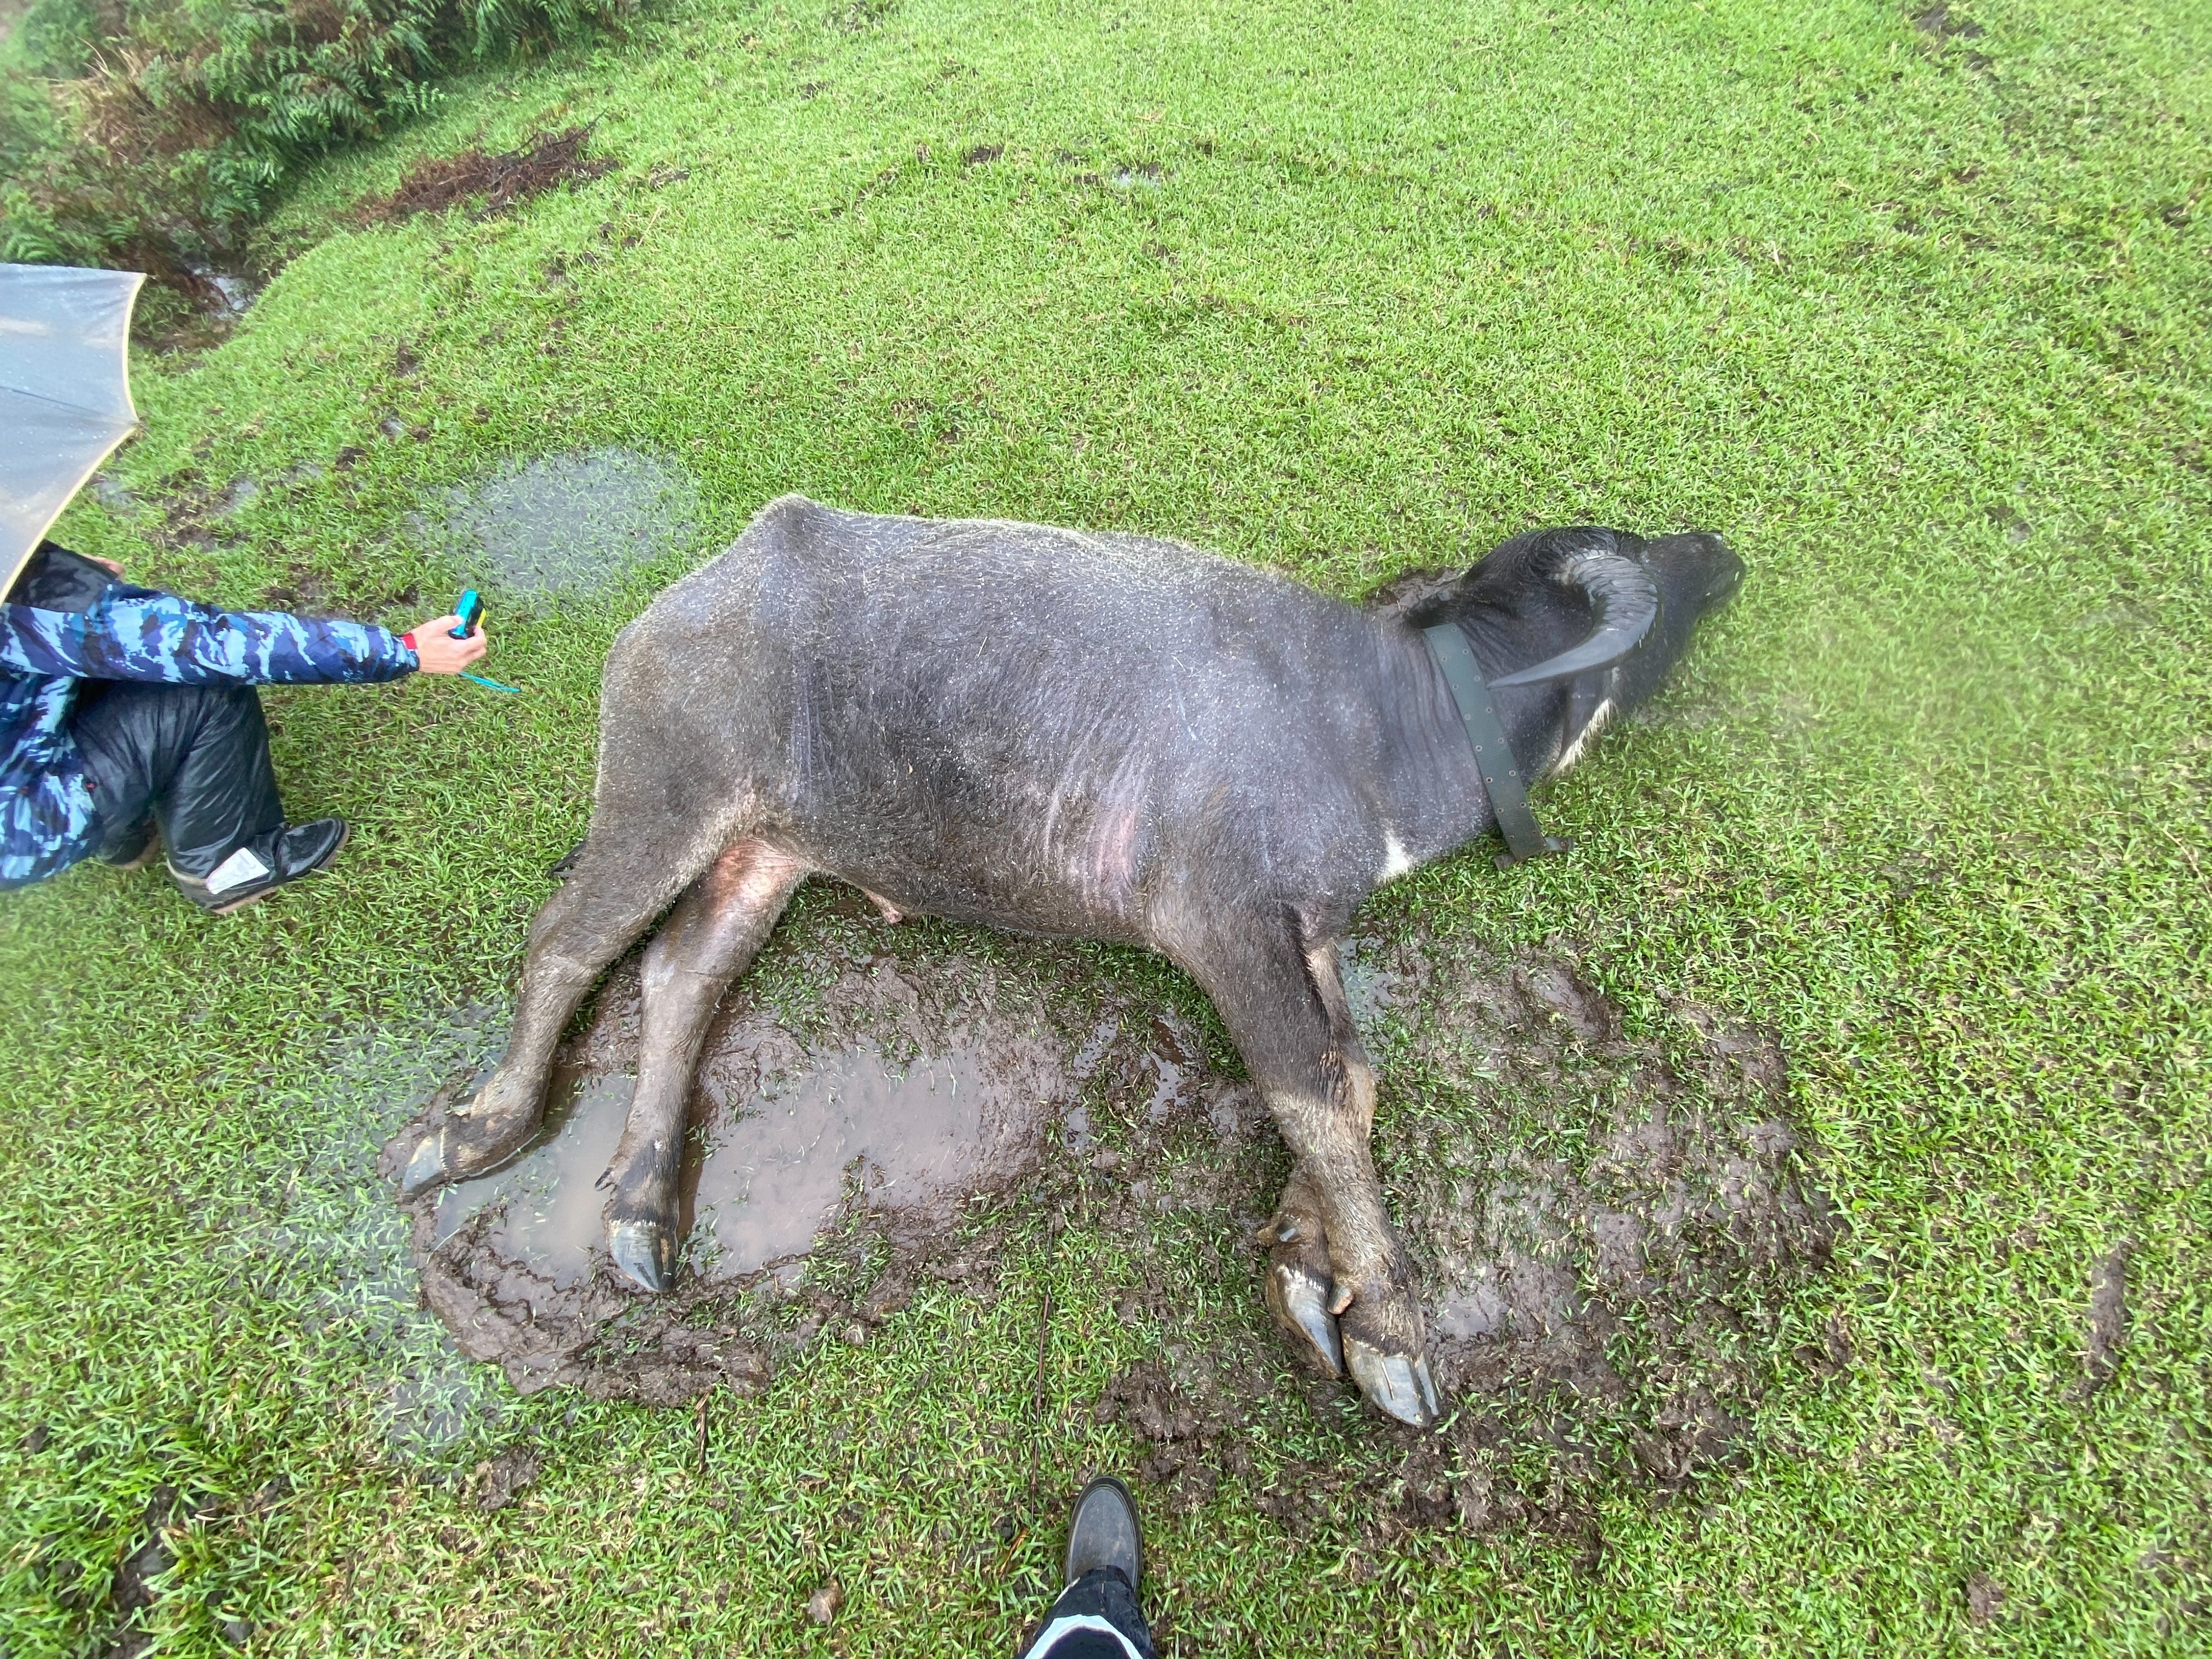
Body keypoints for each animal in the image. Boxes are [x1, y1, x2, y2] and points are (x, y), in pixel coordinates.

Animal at [398, 500, 1743, 1433]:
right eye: (1660, 583)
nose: (1721, 554)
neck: (1367, 721)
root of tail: (689, 598)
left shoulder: (1309, 935)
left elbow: (1354, 1079)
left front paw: (1309, 1266)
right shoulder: (1226, 928)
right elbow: (1312, 1089)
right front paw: (1393, 1328)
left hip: (762, 854)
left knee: (680, 975)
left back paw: (637, 1202)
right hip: (661, 795)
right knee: (568, 943)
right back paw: (478, 1127)